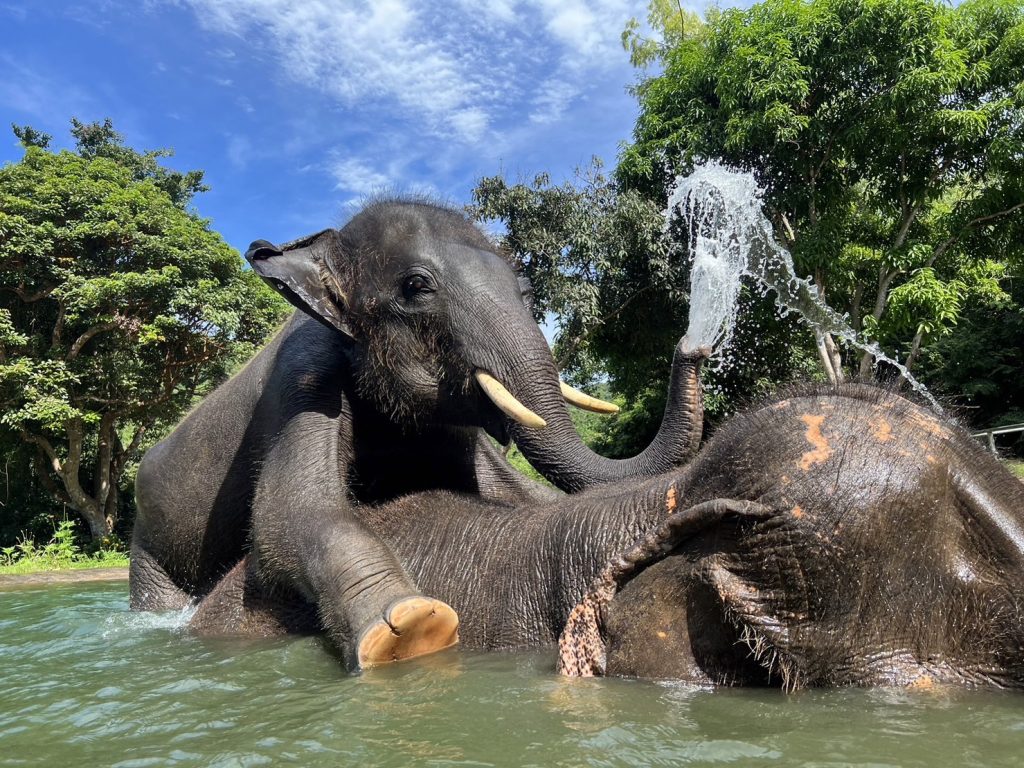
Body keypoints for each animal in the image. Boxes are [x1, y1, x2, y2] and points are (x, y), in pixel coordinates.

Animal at [128, 199, 708, 671]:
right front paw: (411, 627)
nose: (694, 343)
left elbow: (513, 495)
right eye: (415, 287)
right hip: (147, 540)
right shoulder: (304, 374)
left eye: (525, 291)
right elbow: (286, 517)